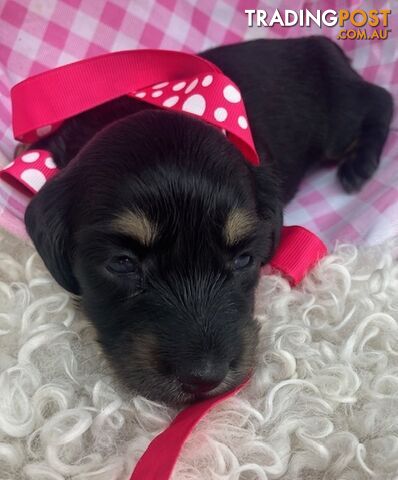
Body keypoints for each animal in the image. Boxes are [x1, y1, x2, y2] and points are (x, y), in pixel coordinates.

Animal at [23, 38, 394, 404]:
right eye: (122, 263)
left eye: (244, 259)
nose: (204, 378)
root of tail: (322, 42)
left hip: (337, 123)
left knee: (380, 100)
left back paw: (359, 166)